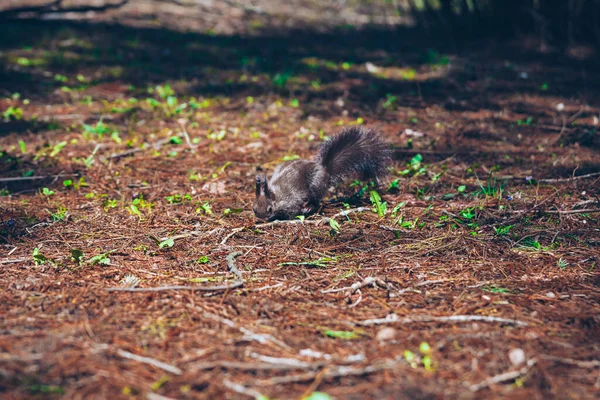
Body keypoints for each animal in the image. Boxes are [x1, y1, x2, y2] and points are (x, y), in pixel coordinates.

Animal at [252, 126, 390, 222]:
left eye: (269, 209)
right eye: (254, 209)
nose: (261, 219)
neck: (275, 195)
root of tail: (324, 169)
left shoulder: (291, 201)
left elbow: (293, 211)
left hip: (315, 185)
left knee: (317, 202)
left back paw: (308, 208)